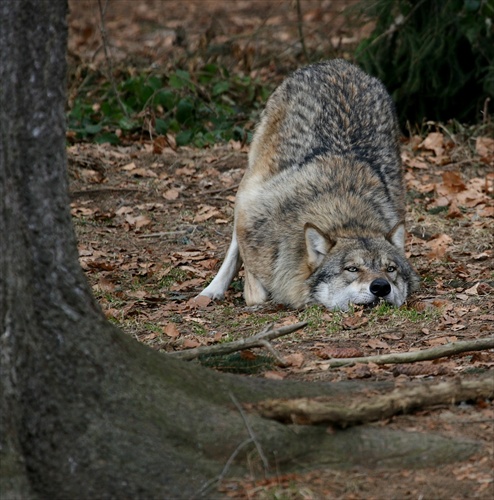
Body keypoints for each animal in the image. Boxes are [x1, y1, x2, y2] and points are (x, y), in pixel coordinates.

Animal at [199, 58, 418, 308]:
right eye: (352, 269)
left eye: (390, 269)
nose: (381, 286)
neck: (343, 215)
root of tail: (337, 63)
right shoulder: (250, 218)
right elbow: (255, 290)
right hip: (247, 185)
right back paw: (212, 290)